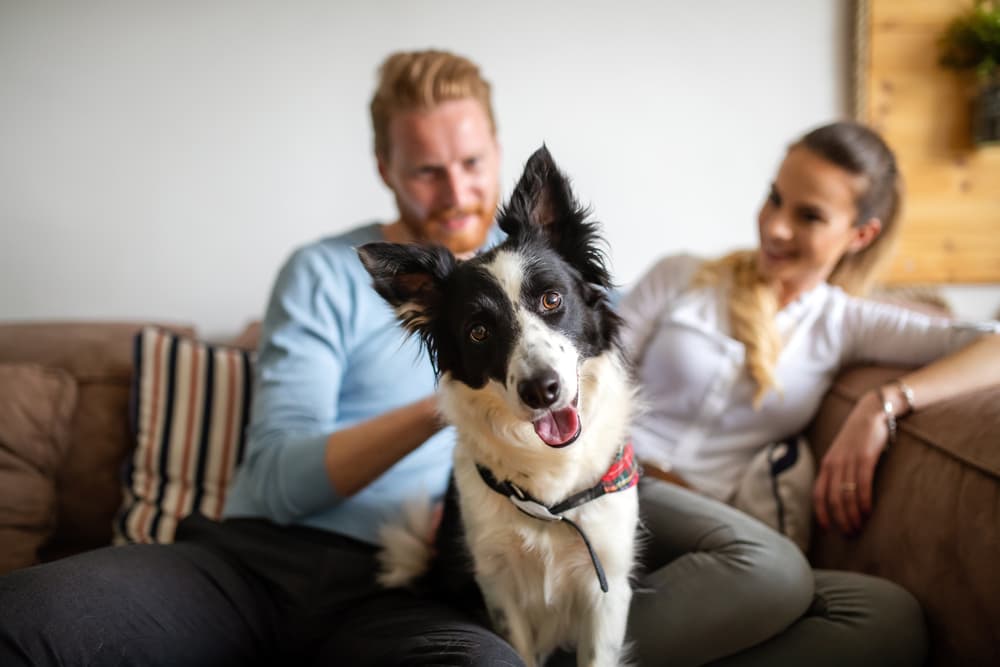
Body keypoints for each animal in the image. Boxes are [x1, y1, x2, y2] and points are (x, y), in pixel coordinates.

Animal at [360, 147, 636, 667]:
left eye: (552, 299)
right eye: (478, 332)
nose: (541, 390)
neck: (551, 490)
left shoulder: (606, 582)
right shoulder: (497, 584)